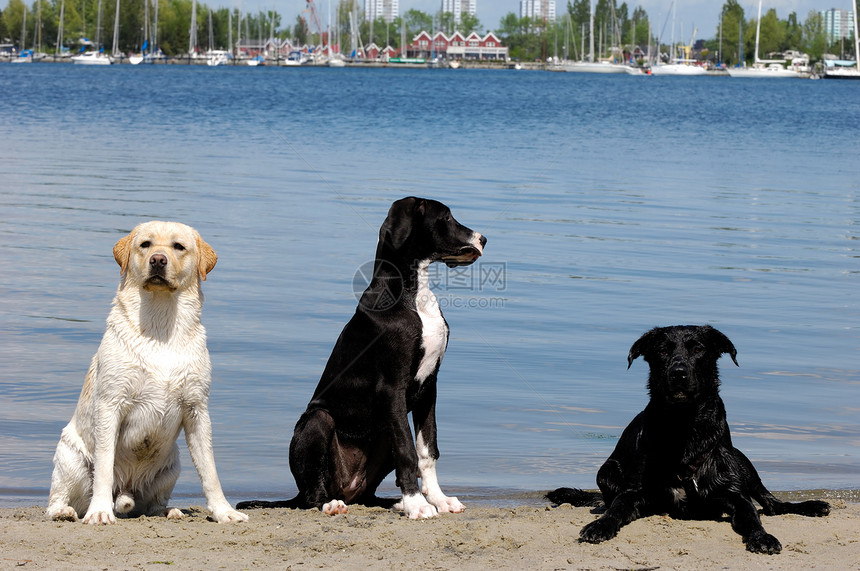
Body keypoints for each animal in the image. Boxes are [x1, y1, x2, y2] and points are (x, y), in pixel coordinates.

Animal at [46, 221, 247, 524]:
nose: (158, 260)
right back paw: (64, 511)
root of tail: (126, 488)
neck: (160, 328)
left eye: (178, 246)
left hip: (172, 464)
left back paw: (168, 510)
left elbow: (210, 471)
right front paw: (100, 511)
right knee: (59, 496)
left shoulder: (197, 409)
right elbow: (104, 466)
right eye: (145, 244)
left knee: (149, 503)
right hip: (70, 456)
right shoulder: (110, 405)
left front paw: (224, 512)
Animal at [239, 199, 488, 520]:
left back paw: (394, 502)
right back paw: (332, 503)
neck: (412, 294)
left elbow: (427, 450)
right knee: (312, 494)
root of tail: (346, 488)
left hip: (382, 436)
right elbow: (407, 451)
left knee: (368, 493)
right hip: (318, 421)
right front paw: (418, 505)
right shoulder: (392, 389)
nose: (483, 239)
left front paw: (438, 499)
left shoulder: (429, 387)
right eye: (446, 217)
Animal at [548, 326, 828, 556]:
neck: (684, 425)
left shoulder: (736, 494)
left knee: (772, 505)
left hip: (742, 461)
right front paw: (600, 525)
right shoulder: (634, 492)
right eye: (662, 350)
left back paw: (811, 506)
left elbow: (752, 517)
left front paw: (762, 537)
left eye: (698, 349)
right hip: (607, 470)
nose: (678, 373)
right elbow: (616, 508)